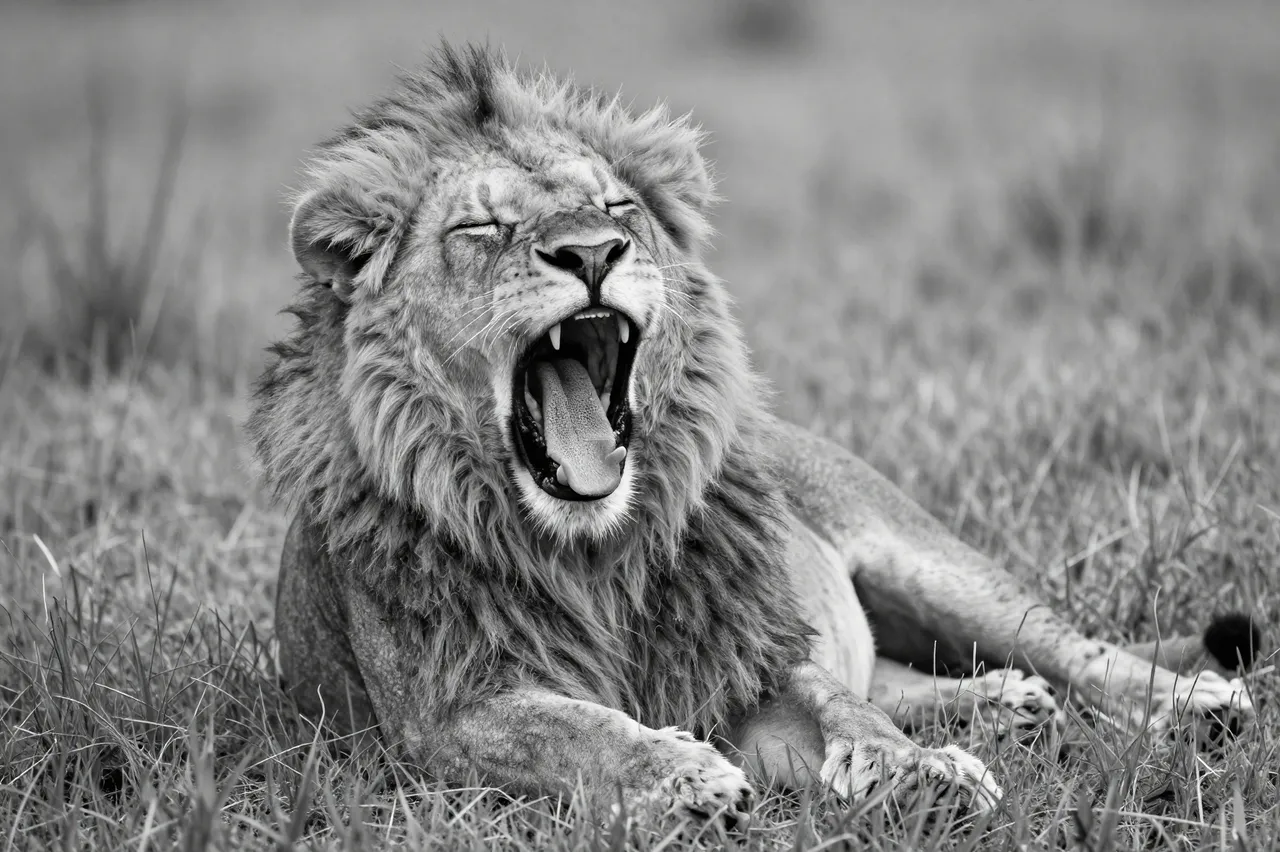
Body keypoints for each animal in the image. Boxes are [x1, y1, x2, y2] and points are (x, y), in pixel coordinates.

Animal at [248, 44, 1258, 826]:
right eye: (481, 226)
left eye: (616, 211)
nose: (591, 254)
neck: (592, 551)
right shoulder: (445, 714)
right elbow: (568, 729)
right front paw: (676, 776)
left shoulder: (748, 652)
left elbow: (836, 705)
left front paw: (921, 775)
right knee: (908, 674)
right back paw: (1006, 706)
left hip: (932, 566)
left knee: (1068, 651)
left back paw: (1191, 705)